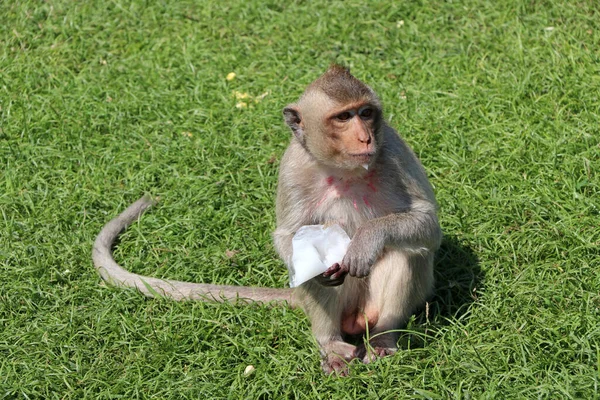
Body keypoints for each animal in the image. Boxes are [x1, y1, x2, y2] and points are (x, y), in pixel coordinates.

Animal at [94, 65, 440, 376]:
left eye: (366, 113)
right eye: (344, 117)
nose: (365, 138)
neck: (343, 169)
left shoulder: (394, 149)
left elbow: (428, 223)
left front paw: (367, 239)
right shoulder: (293, 166)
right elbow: (289, 235)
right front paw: (319, 266)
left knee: (403, 252)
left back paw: (382, 339)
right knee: (311, 274)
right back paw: (330, 345)